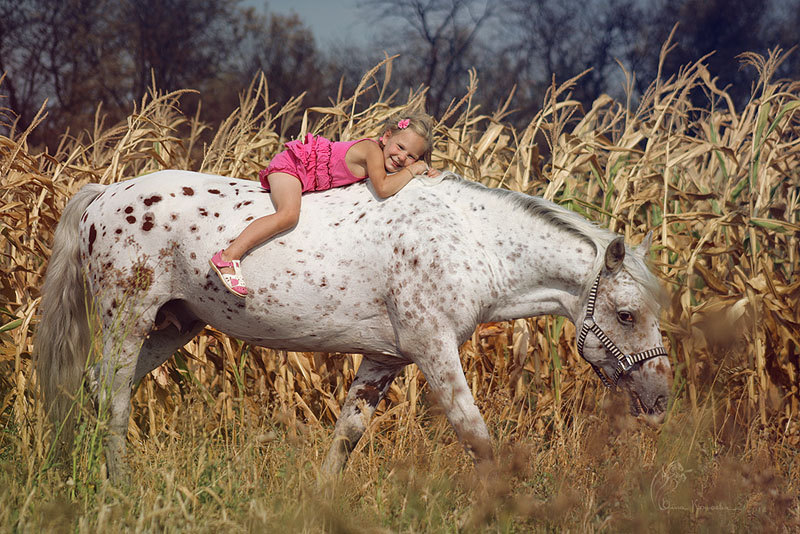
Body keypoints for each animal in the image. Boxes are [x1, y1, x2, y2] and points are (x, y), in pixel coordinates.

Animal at [37, 171, 672, 482]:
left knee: (98, 386)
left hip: (174, 326)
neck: (470, 242)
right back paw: (121, 486)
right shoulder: (433, 350)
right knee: (115, 398)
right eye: (626, 315)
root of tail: (104, 195)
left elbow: (346, 436)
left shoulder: (383, 360)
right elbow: (475, 434)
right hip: (129, 318)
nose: (662, 399)